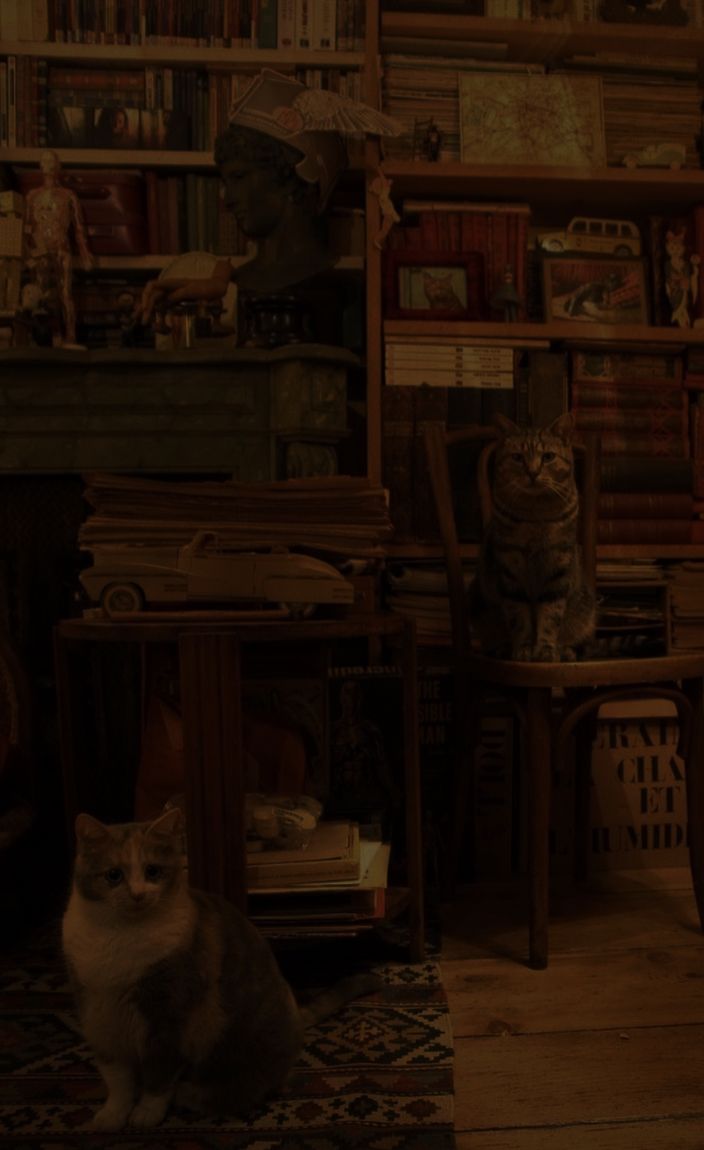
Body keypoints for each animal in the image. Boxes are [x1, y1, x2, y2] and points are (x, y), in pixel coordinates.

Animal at [61, 809, 379, 1131]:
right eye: (114, 875)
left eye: (152, 871)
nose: (138, 894)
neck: (120, 940)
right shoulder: (98, 1016)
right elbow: (117, 1079)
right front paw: (112, 1115)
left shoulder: (167, 1017)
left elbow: (158, 1078)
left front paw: (146, 1113)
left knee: (237, 1089)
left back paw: (189, 1094)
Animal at [469, 414, 598, 667]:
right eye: (517, 457)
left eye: (548, 457)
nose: (532, 472)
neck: (536, 515)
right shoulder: (511, 569)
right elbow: (519, 617)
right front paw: (525, 648)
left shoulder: (558, 567)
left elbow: (550, 616)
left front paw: (546, 649)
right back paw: (503, 648)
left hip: (585, 609)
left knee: (579, 643)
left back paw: (565, 651)